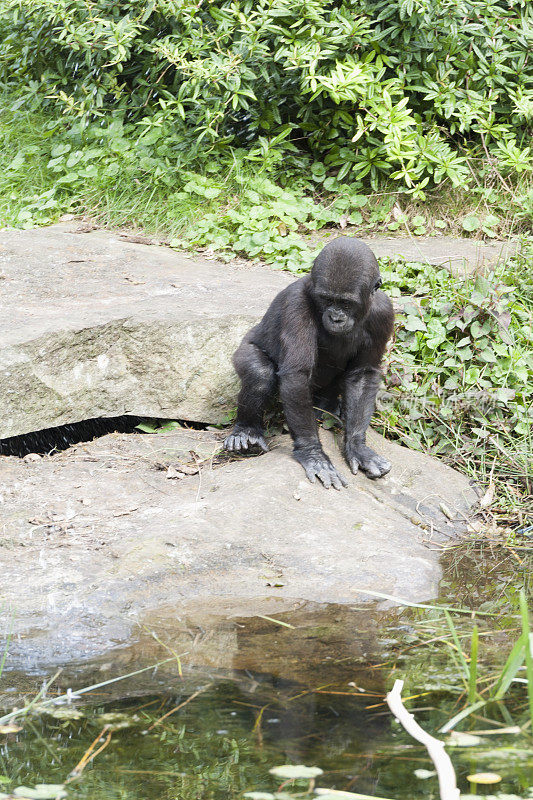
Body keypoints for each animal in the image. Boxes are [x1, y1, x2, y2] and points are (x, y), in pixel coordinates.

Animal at [222, 238, 392, 488]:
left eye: (346, 303)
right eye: (327, 300)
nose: (336, 317)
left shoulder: (384, 312)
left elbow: (362, 375)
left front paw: (357, 446)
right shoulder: (296, 303)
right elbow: (296, 376)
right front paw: (313, 453)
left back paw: (329, 406)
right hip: (243, 349)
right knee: (259, 373)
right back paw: (247, 432)